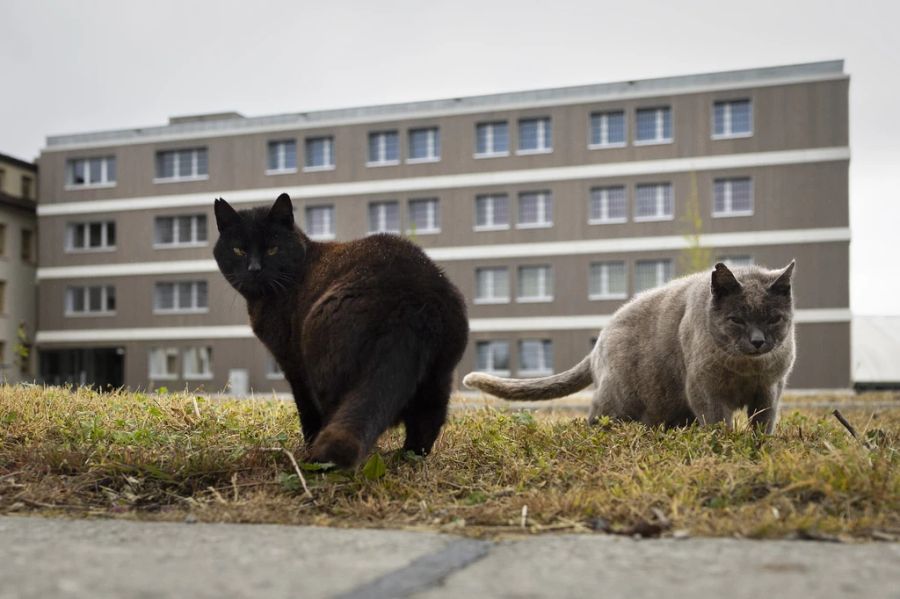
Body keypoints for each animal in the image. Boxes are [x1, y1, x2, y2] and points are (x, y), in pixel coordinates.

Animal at [214, 195, 468, 466]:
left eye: (273, 248)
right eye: (238, 250)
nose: (254, 268)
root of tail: (408, 305)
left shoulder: (294, 365)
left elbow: (306, 413)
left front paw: (308, 446)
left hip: (326, 368)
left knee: (333, 412)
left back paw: (317, 460)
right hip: (440, 374)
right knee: (428, 420)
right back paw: (406, 458)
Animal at [464, 262, 796, 432]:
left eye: (774, 319)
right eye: (736, 320)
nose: (758, 341)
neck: (746, 369)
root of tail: (600, 339)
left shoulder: (770, 389)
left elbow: (764, 423)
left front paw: (758, 448)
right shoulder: (705, 389)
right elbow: (718, 424)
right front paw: (725, 447)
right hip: (619, 397)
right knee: (596, 416)